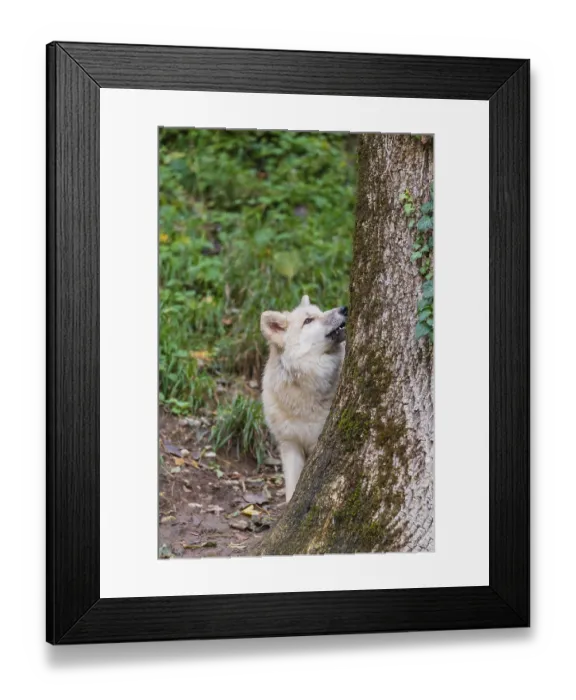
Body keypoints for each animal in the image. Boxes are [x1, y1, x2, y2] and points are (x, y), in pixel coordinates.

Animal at [260, 295, 347, 502]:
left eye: (321, 311)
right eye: (308, 320)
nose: (344, 308)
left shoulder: (317, 442)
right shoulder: (290, 445)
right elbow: (292, 490)